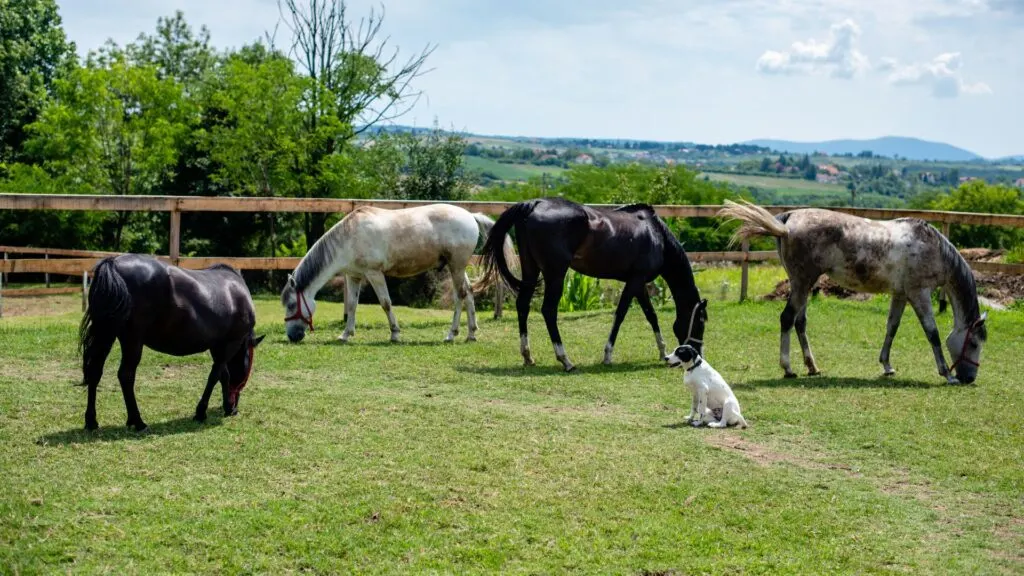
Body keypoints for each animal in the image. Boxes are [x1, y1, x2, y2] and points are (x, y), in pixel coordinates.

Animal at [79, 253, 266, 428]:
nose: (235, 405)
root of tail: (113, 263)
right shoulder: (230, 344)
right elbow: (214, 376)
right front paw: (201, 412)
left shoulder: (217, 347)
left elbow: (223, 375)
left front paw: (226, 407)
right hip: (132, 340)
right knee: (126, 375)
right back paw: (138, 422)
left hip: (106, 334)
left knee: (95, 371)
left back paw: (91, 422)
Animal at [280, 203, 516, 342]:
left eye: (291, 304)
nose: (292, 336)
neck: (349, 237)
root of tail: (470, 215)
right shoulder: (354, 276)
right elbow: (352, 305)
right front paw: (346, 334)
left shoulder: (374, 274)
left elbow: (386, 303)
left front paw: (395, 333)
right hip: (456, 267)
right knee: (468, 295)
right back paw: (471, 333)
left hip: (456, 266)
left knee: (460, 296)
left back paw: (452, 334)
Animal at [475, 194, 708, 368]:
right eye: (701, 320)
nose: (698, 353)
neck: (656, 235)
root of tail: (535, 203)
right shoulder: (635, 281)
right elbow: (621, 314)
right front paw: (608, 355)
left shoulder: (639, 283)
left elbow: (651, 315)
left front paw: (661, 350)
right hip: (556, 274)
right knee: (548, 310)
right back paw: (565, 360)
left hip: (530, 270)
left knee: (523, 304)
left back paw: (527, 356)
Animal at [716, 199, 987, 383]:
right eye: (974, 343)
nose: (969, 378)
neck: (931, 248)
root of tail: (788, 221)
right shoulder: (919, 293)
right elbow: (932, 333)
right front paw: (946, 373)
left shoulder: (900, 294)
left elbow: (892, 328)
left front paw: (887, 366)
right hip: (802, 282)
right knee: (787, 319)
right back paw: (788, 368)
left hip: (802, 284)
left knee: (800, 322)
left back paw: (812, 367)